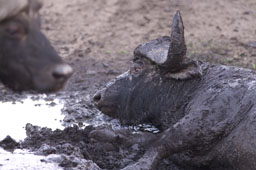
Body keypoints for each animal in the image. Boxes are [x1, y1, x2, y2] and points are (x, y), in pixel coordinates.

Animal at [94, 10, 256, 170]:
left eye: (137, 68)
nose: (98, 96)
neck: (196, 86)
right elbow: (149, 137)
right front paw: (104, 133)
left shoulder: (207, 117)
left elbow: (162, 141)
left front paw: (138, 165)